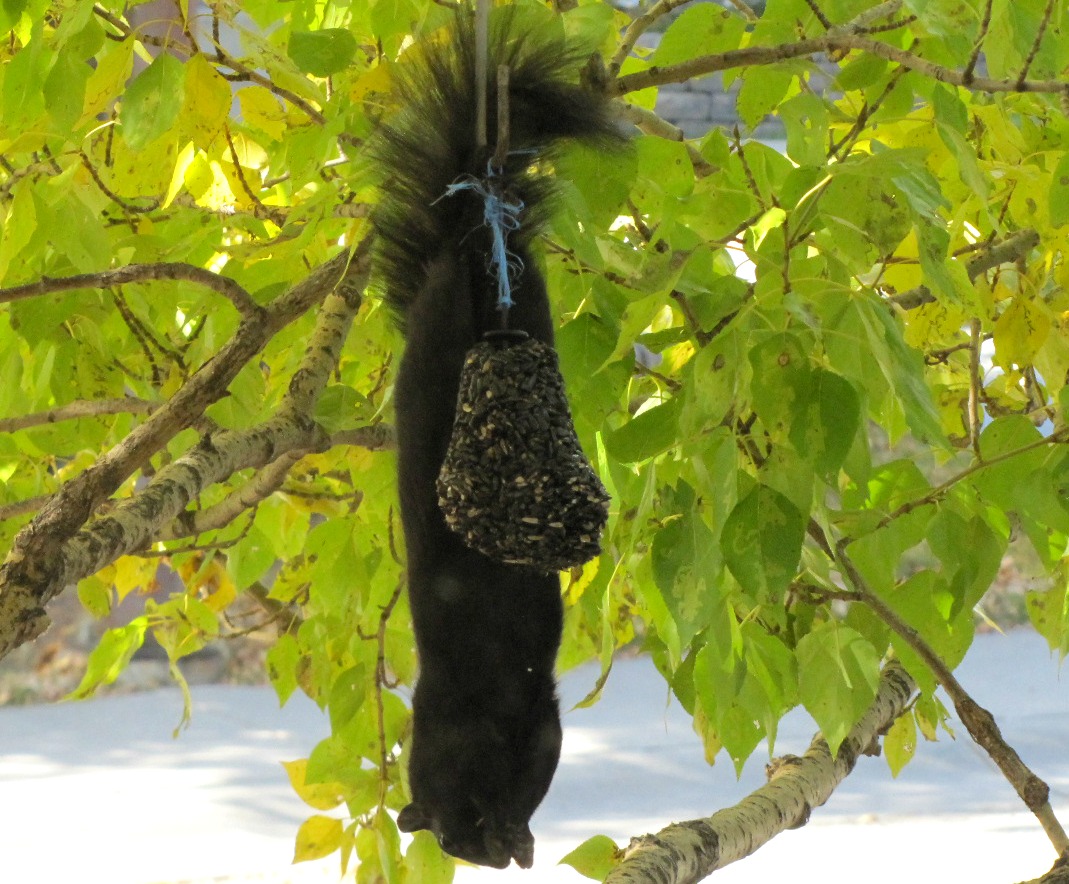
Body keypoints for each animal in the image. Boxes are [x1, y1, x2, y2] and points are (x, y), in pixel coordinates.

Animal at [370, 5, 624, 870]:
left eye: (455, 837)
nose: (479, 851)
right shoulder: (529, 726)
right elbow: (534, 766)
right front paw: (518, 830)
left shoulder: (482, 732)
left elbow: (521, 773)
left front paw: (514, 828)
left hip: (446, 322)